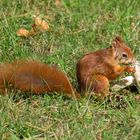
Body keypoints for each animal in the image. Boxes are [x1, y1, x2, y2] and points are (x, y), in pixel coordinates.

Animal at [0, 36, 136, 99]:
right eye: (124, 55)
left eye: (130, 49)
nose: (134, 59)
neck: (111, 56)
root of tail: (84, 94)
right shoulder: (105, 65)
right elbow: (113, 74)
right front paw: (129, 69)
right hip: (100, 81)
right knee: (100, 95)